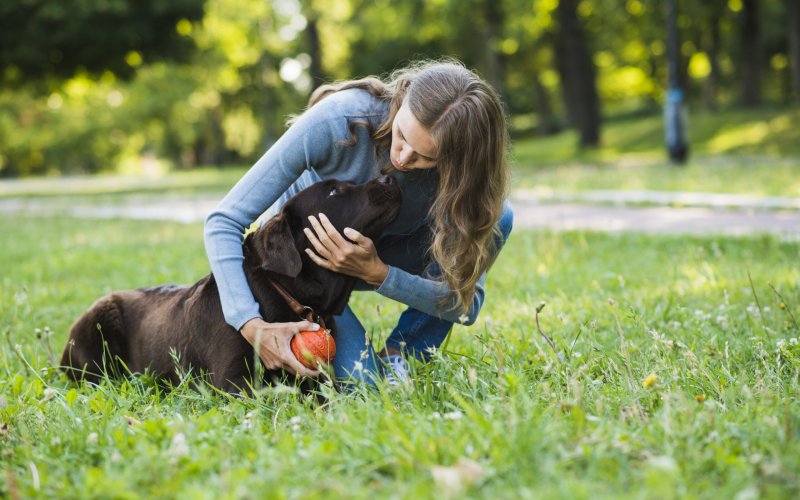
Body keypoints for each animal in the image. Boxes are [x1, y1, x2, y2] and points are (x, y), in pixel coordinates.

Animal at [59, 178, 404, 392]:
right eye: (334, 192)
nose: (389, 177)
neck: (284, 293)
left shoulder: (316, 383)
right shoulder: (232, 383)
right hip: (99, 327)